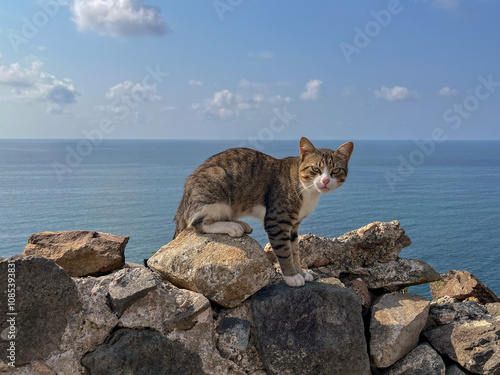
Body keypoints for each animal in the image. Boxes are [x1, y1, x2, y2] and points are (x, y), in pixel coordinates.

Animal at [174, 138, 354, 288]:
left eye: (335, 171)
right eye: (315, 169)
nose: (325, 181)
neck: (307, 190)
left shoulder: (294, 226)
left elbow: (295, 251)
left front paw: (301, 272)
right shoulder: (277, 221)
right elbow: (284, 251)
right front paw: (292, 276)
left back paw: (240, 224)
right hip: (216, 185)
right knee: (197, 223)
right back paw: (232, 227)